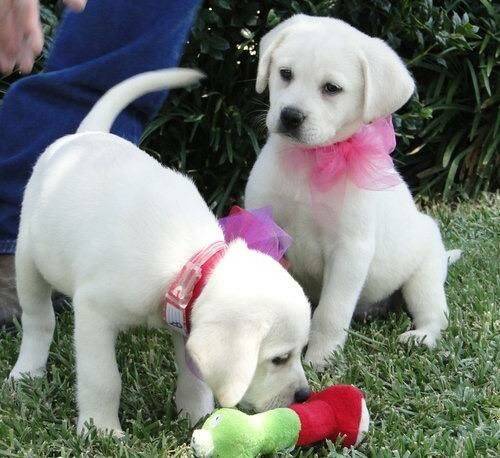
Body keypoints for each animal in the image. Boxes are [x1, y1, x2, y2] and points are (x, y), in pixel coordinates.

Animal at [9, 70, 310, 434]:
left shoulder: (185, 323)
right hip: (29, 261)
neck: (185, 259)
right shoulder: (93, 313)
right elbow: (103, 379)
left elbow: (195, 379)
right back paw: (26, 371)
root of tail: (86, 135)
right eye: (279, 358)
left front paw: (196, 416)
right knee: (39, 320)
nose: (304, 396)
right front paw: (101, 429)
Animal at [244, 16, 458, 370]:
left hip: (424, 276)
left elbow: (331, 312)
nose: (290, 116)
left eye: (332, 88)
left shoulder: (349, 251)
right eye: (285, 73)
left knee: (435, 314)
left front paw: (320, 359)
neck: (314, 160)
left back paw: (421, 337)